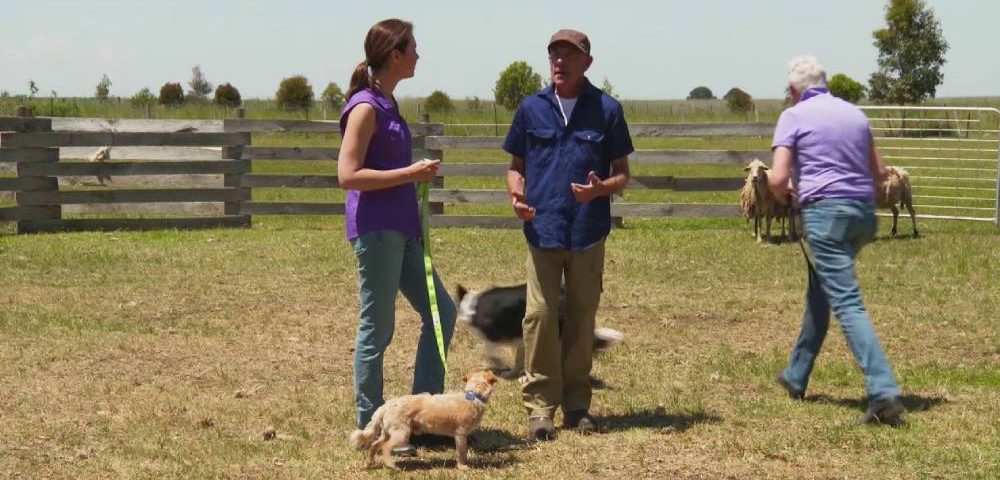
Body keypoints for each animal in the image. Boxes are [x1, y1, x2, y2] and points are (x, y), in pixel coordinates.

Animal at [350, 372, 498, 468]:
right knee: (385, 447)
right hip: (401, 434)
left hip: (387, 433)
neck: (473, 395)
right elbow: (461, 452)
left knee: (375, 445)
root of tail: (386, 405)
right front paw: (462, 466)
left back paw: (368, 464)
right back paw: (391, 465)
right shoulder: (460, 434)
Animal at [458, 284, 620, 378]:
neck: (472, 306)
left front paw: (500, 365)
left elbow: (489, 351)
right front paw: (513, 373)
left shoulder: (494, 335)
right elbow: (518, 359)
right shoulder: (520, 339)